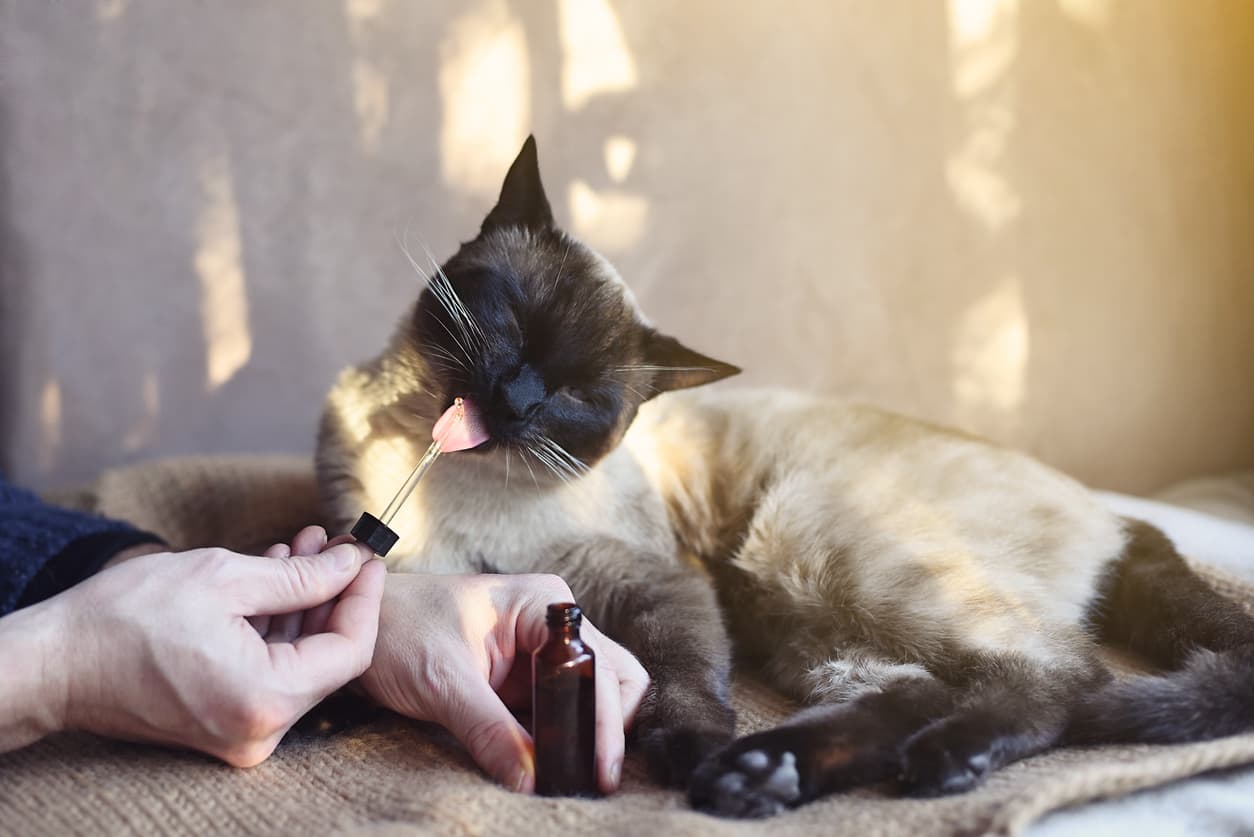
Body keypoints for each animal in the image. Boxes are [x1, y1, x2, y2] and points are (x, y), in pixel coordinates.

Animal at [318, 137, 1254, 818]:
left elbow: (684, 683)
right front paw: (327, 703)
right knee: (922, 687)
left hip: (805, 544)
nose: (515, 399)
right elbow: (359, 639)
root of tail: (1113, 512)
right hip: (802, 617)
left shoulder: (661, 588)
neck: (460, 495)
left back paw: (914, 764)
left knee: (1064, 675)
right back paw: (767, 774)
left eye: (580, 395)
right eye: (511, 322)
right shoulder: (388, 558)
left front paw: (683, 751)